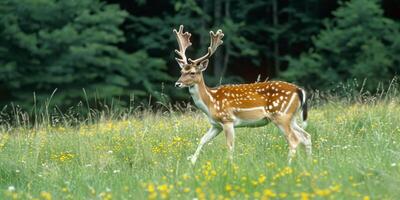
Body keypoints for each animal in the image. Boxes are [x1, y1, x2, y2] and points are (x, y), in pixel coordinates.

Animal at [173, 25, 310, 165]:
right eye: (181, 71)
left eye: (193, 73)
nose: (177, 83)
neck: (210, 101)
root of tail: (300, 90)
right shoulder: (215, 125)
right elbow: (202, 140)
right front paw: (191, 163)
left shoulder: (227, 119)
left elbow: (230, 146)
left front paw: (230, 165)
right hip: (291, 117)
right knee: (306, 136)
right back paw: (308, 162)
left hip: (281, 115)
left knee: (294, 140)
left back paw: (288, 165)